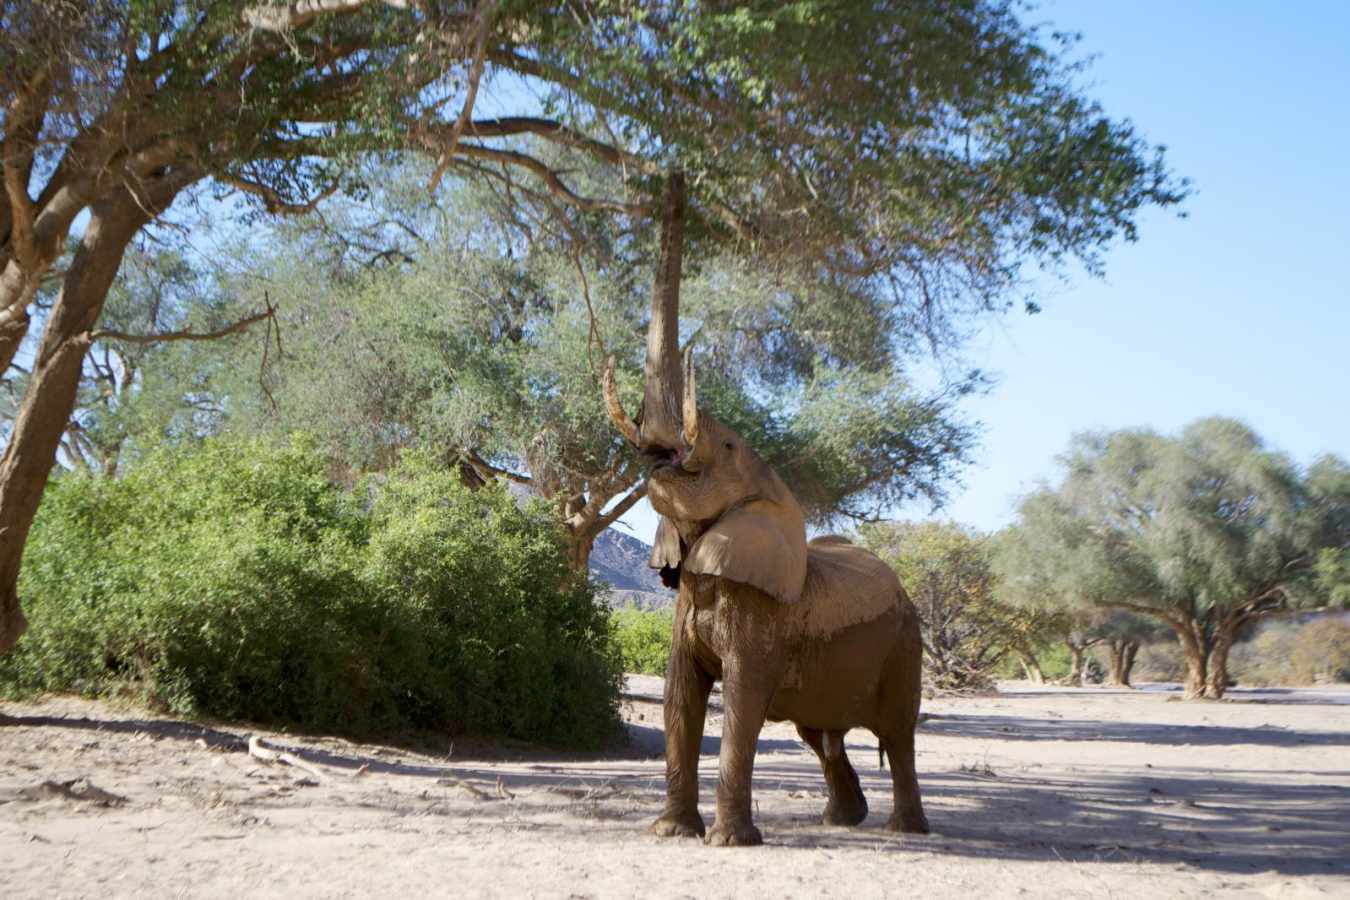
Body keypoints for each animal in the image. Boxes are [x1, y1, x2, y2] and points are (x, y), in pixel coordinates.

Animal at [603, 347, 930, 846]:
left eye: (727, 446)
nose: (659, 458)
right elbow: (680, 695)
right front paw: (671, 832)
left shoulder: (760, 612)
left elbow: (742, 698)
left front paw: (728, 842)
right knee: (819, 735)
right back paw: (843, 819)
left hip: (904, 645)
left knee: (896, 734)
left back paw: (904, 830)